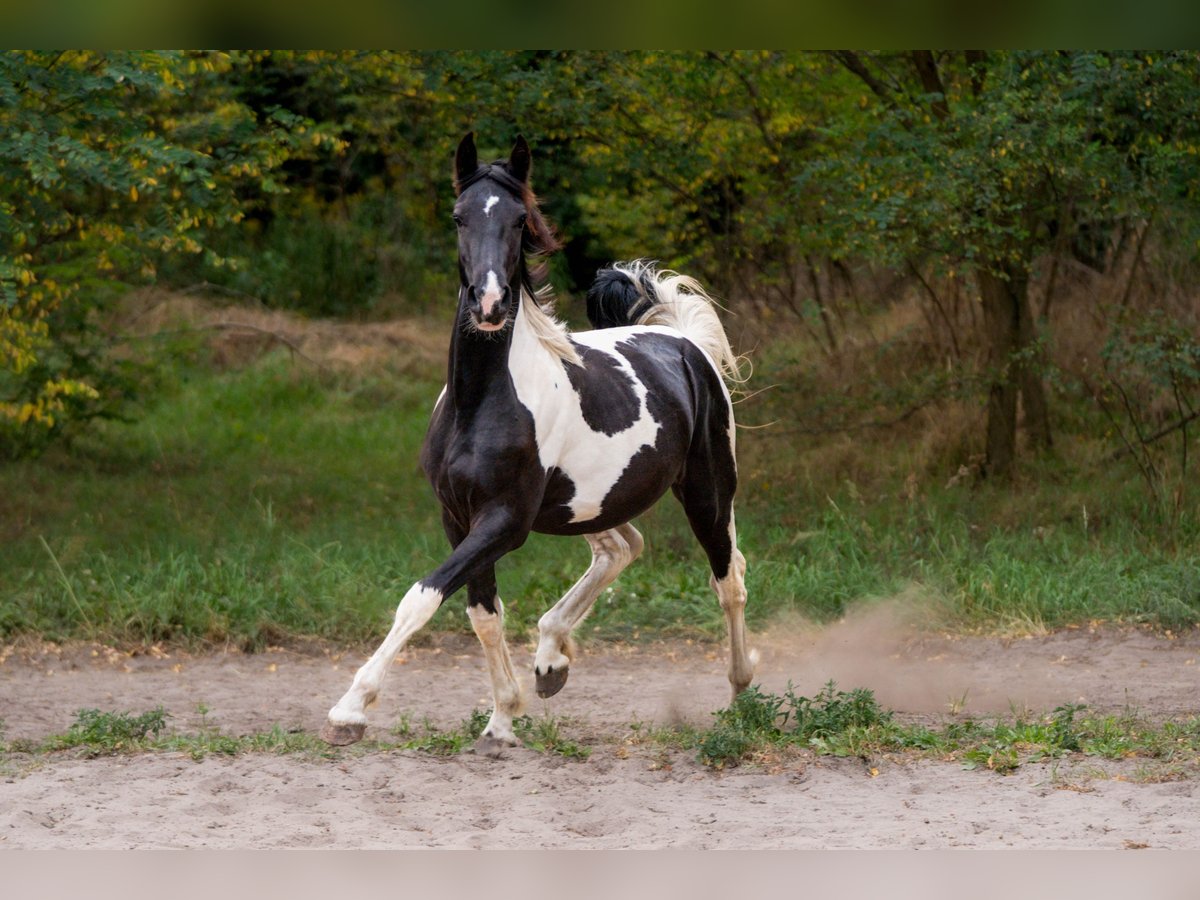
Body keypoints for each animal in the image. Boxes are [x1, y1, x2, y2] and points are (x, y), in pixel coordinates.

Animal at [320, 133, 756, 754]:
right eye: (458, 216)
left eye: (519, 219)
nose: (490, 304)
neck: (480, 404)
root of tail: (684, 342)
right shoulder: (459, 517)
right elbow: (483, 614)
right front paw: (503, 718)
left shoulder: (505, 519)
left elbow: (423, 595)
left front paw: (350, 710)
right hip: (588, 504)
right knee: (622, 548)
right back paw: (551, 661)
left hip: (708, 492)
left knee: (729, 579)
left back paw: (742, 693)